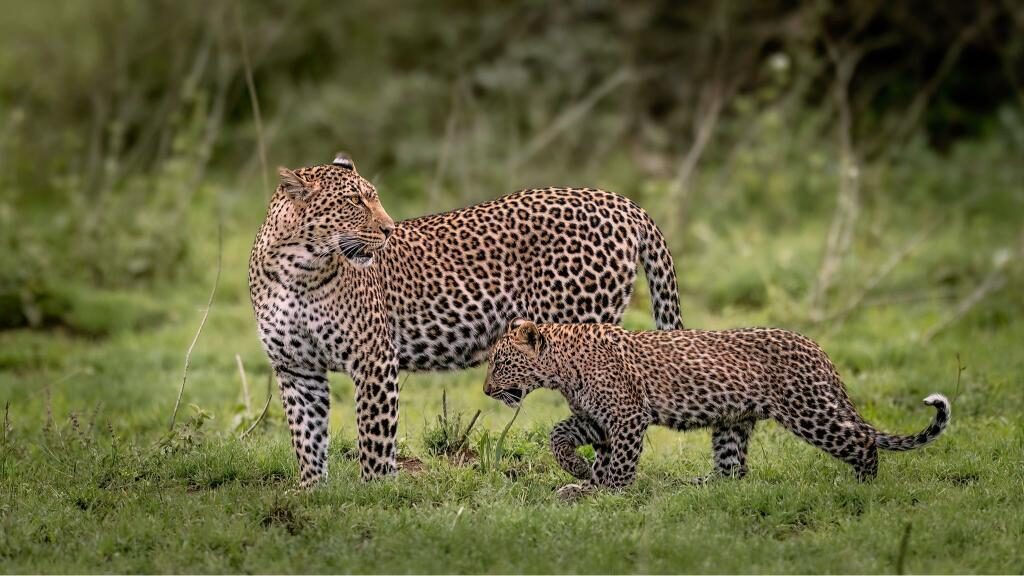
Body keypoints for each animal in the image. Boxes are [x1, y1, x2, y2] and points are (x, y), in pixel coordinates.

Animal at [248, 153, 683, 487]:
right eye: (355, 201)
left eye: (373, 198)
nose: (388, 229)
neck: (299, 270)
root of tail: (620, 201)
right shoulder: (296, 368)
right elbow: (307, 437)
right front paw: (312, 491)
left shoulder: (373, 359)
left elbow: (374, 436)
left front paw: (375, 493)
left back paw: (596, 485)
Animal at [483, 320, 950, 496]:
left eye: (500, 362)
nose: (487, 390)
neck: (562, 369)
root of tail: (817, 348)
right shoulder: (597, 418)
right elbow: (560, 434)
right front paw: (580, 475)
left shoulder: (629, 416)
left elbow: (619, 463)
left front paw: (608, 493)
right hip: (732, 421)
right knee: (733, 470)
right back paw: (697, 486)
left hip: (808, 410)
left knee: (860, 441)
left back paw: (862, 484)